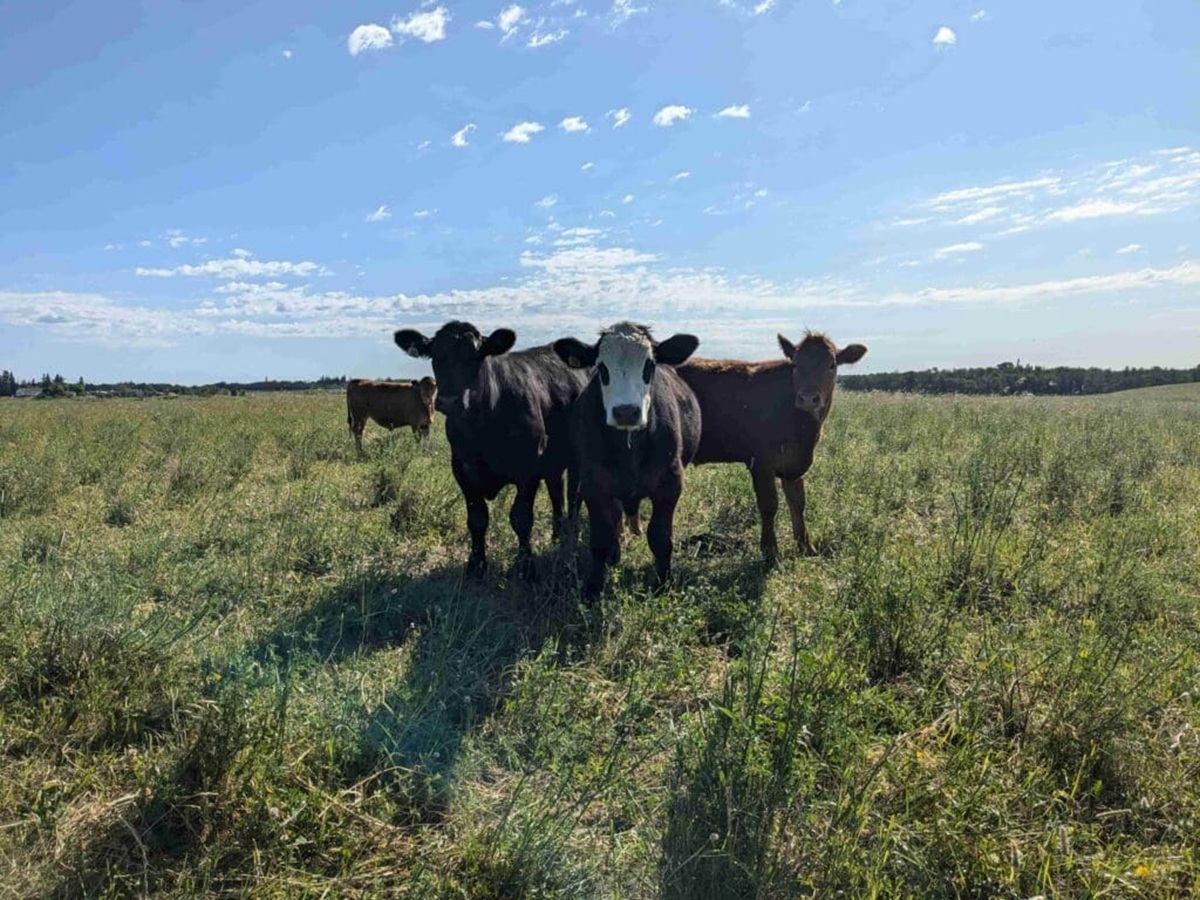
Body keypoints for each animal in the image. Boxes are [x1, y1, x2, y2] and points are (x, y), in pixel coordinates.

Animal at [394, 321, 590, 579]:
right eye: (436, 356)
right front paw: (476, 565)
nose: (450, 400)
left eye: (476, 356)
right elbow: (477, 519)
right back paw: (558, 535)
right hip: (553, 461)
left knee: (574, 496)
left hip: (578, 460)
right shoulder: (462, 468)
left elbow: (521, 518)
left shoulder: (529, 466)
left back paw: (570, 538)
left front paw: (526, 566)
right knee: (556, 492)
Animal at [553, 322, 701, 599]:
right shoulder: (594, 484)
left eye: (649, 366)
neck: (628, 446)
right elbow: (601, 538)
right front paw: (593, 588)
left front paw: (663, 583)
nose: (626, 411)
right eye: (601, 368)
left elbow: (660, 538)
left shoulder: (671, 482)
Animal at [676, 331, 866, 565]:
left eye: (832, 365)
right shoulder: (761, 462)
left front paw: (807, 547)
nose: (808, 398)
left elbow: (798, 503)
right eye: (795, 364)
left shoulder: (794, 464)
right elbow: (769, 505)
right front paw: (770, 552)